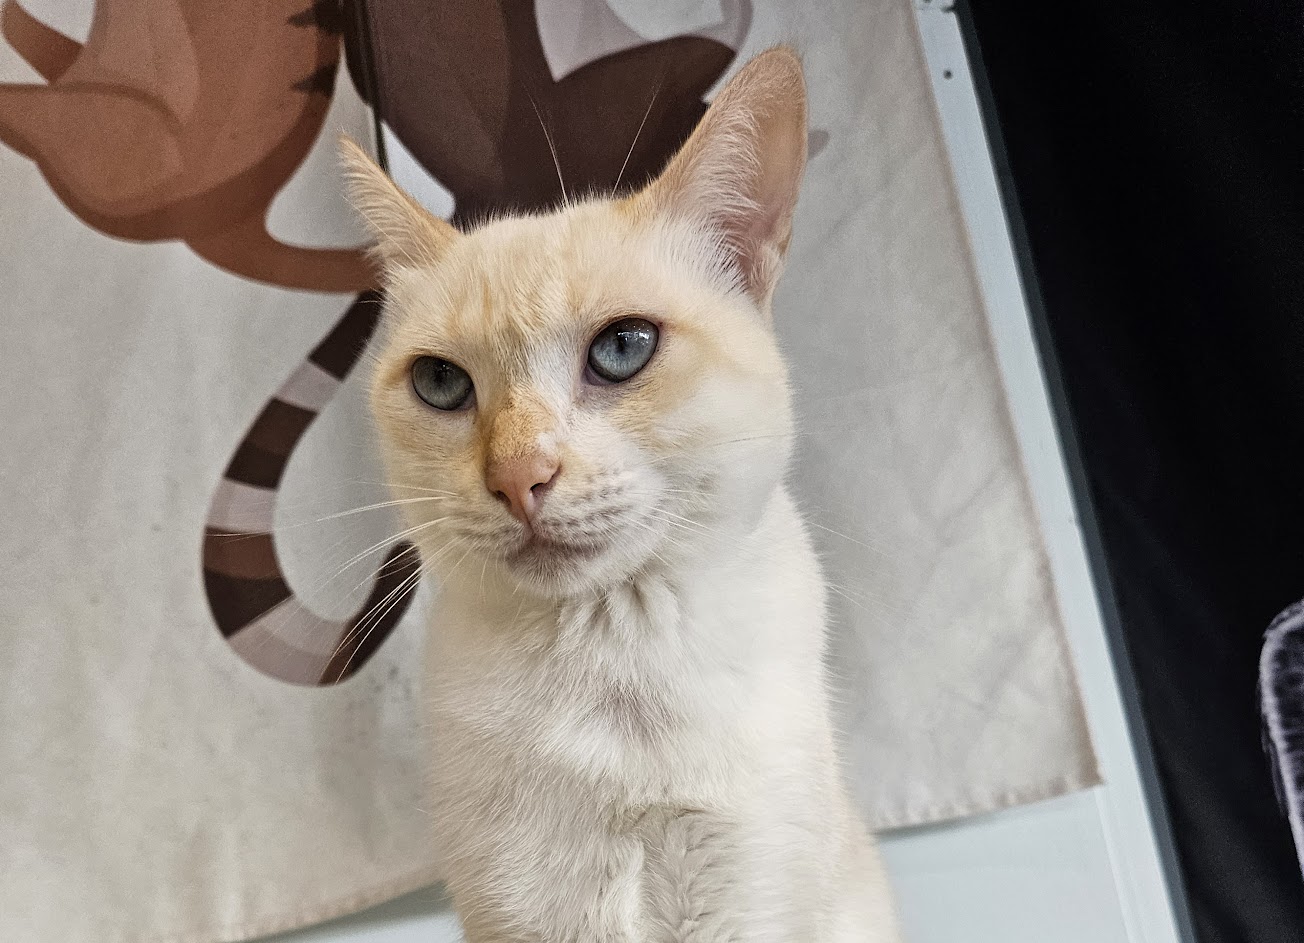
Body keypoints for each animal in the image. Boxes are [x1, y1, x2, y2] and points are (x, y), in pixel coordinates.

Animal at [343, 46, 902, 941]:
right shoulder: (521, 912)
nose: (518, 475)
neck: (611, 667)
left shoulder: (750, 902)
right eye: (440, 383)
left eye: (623, 348)